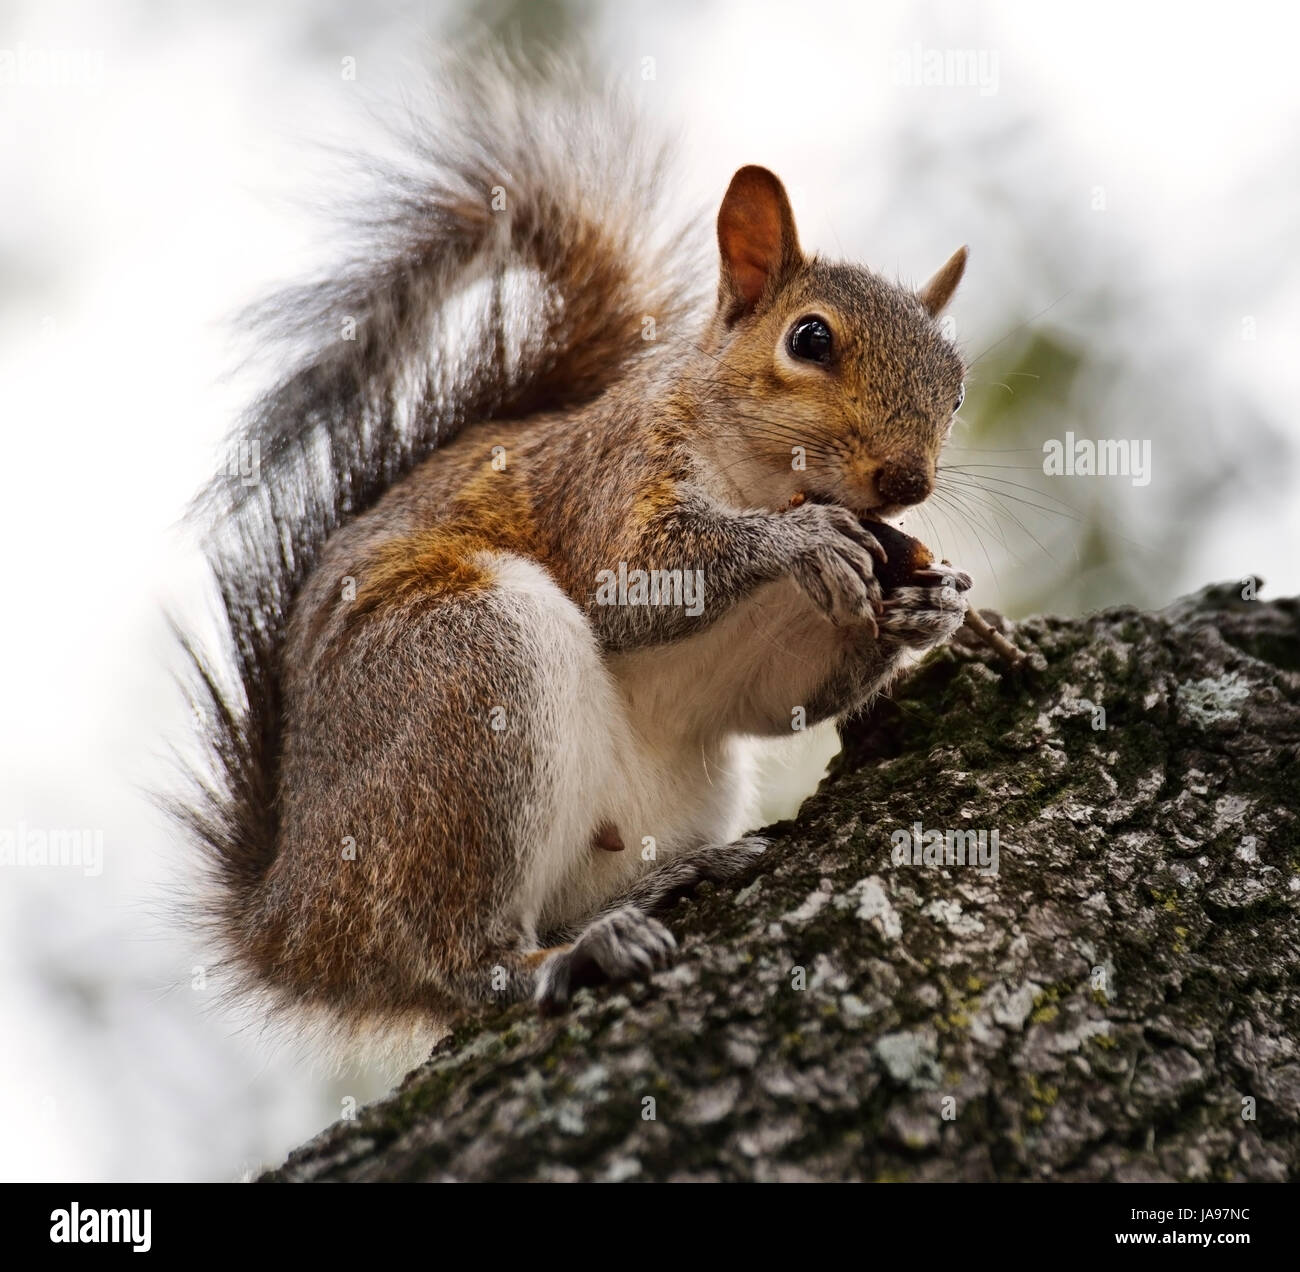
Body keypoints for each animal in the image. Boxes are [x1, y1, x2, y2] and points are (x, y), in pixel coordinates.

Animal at [176, 59, 972, 1065]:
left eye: (958, 388)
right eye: (810, 339)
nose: (906, 480)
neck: (762, 483)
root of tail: (294, 919)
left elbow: (774, 696)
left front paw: (931, 608)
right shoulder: (611, 479)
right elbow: (630, 580)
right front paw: (804, 543)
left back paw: (661, 885)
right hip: (462, 677)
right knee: (454, 961)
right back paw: (565, 957)